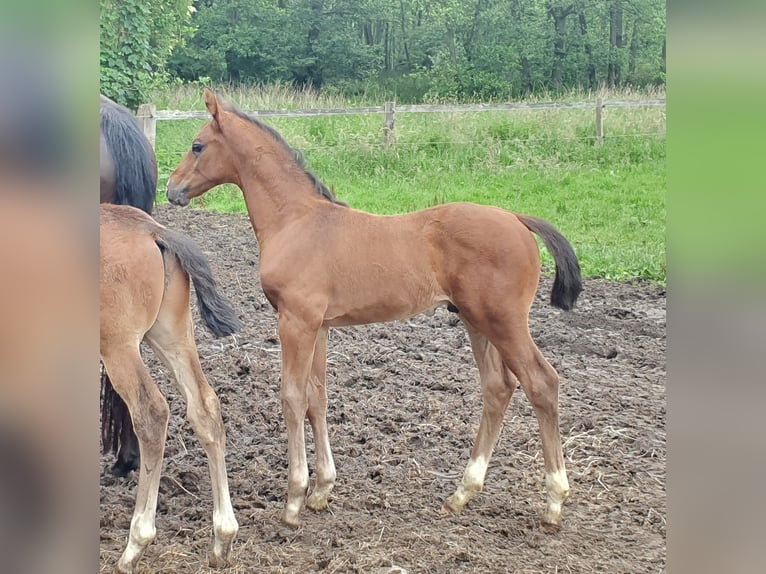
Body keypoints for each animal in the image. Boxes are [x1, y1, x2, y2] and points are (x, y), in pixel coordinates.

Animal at [100, 205, 240, 572]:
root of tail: (152, 231)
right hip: (171, 335)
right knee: (205, 407)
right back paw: (222, 537)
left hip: (119, 345)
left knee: (151, 413)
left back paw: (134, 546)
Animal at [166, 89, 584, 532]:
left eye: (197, 145)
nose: (171, 190)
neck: (296, 220)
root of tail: (519, 219)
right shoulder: (319, 326)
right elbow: (317, 397)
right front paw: (321, 490)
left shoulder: (296, 321)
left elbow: (292, 396)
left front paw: (294, 499)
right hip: (476, 322)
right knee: (498, 387)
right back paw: (462, 493)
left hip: (504, 321)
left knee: (541, 383)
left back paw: (554, 501)